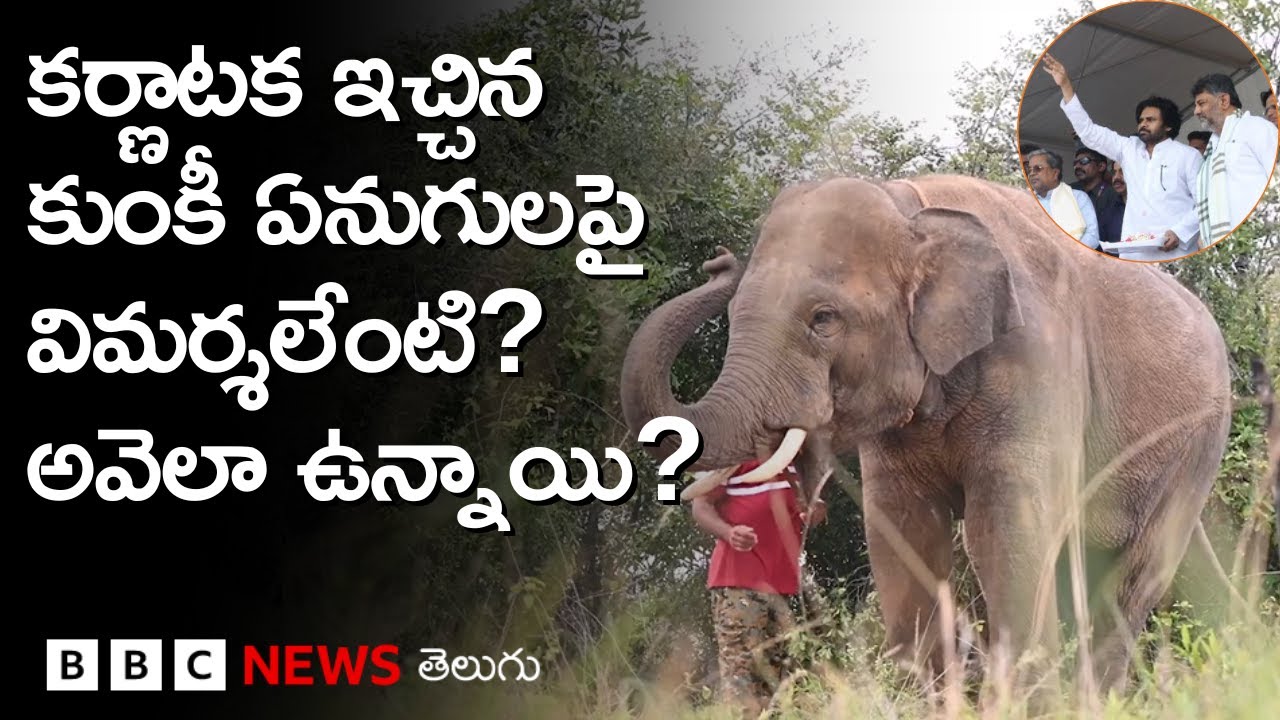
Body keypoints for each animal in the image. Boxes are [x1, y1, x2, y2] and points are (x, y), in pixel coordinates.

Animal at [620, 174, 1233, 706]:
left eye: (824, 319)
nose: (717, 261)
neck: (909, 207)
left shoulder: (1038, 359)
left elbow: (1004, 528)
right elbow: (903, 533)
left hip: (1197, 444)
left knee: (1133, 577)